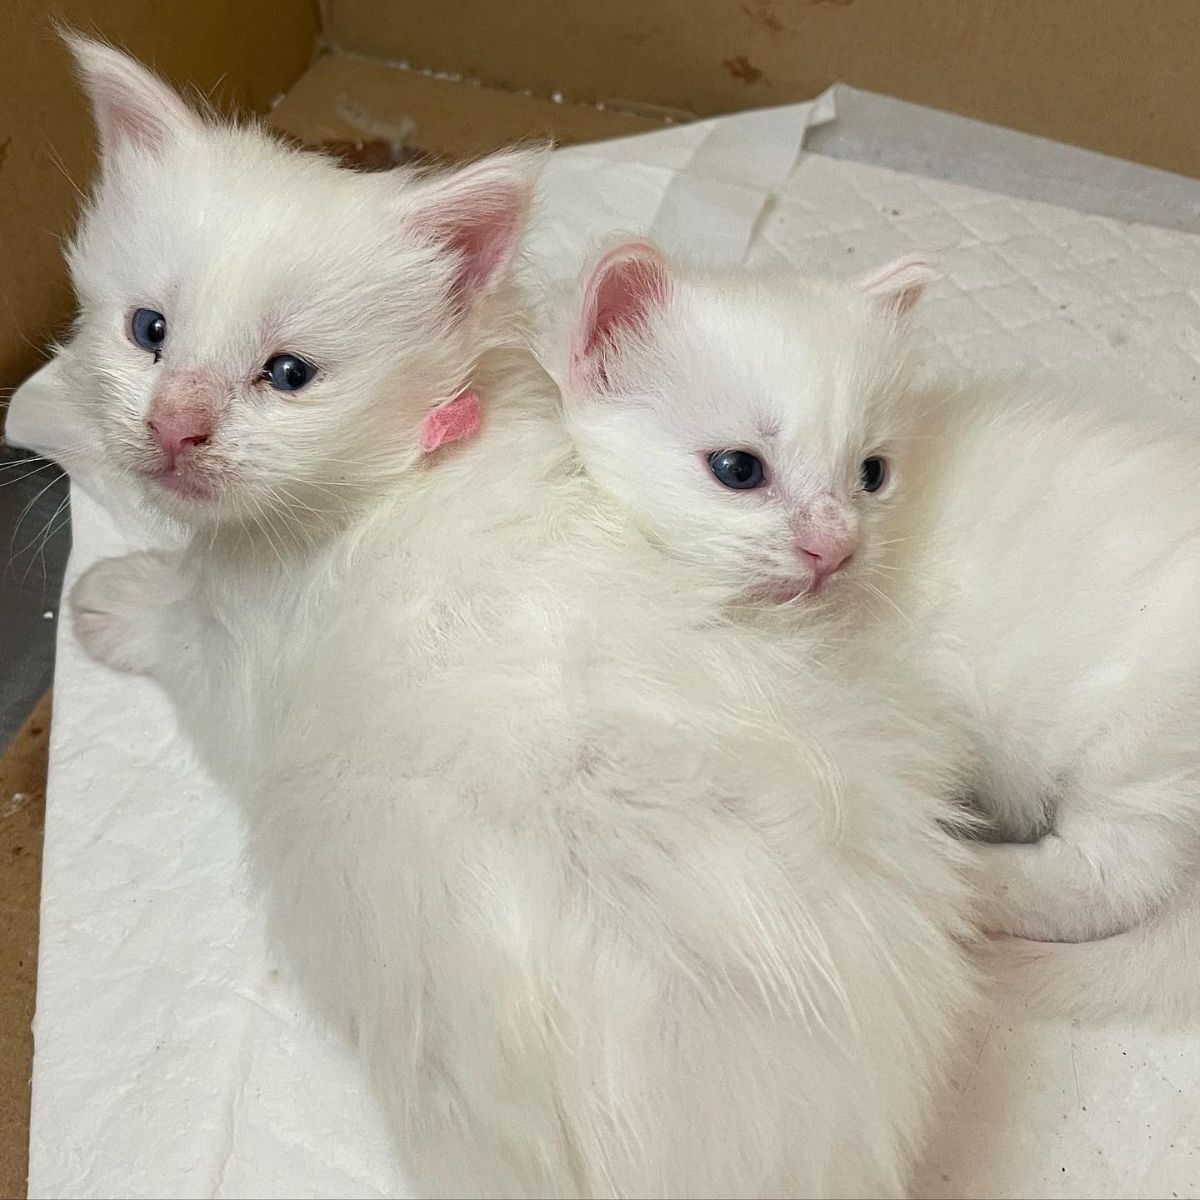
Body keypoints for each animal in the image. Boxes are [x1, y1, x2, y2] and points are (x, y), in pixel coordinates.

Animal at [54, 39, 974, 1200]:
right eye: (149, 332)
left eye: (288, 375)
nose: (174, 427)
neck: (387, 476)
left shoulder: (251, 678)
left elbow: (182, 635)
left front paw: (115, 596)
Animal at [554, 241, 1200, 955]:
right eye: (738, 470)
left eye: (871, 474)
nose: (834, 548)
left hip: (1135, 743)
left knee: (1111, 882)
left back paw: (968, 871)